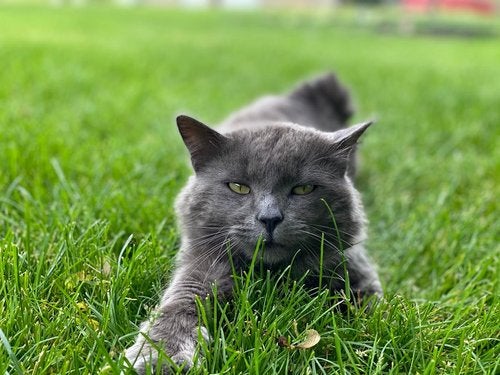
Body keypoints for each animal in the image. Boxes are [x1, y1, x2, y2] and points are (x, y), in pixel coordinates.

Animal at [125, 72, 382, 374]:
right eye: (239, 187)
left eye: (303, 189)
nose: (269, 218)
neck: (270, 273)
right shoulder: (201, 266)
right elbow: (178, 306)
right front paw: (161, 356)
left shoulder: (354, 266)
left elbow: (374, 313)